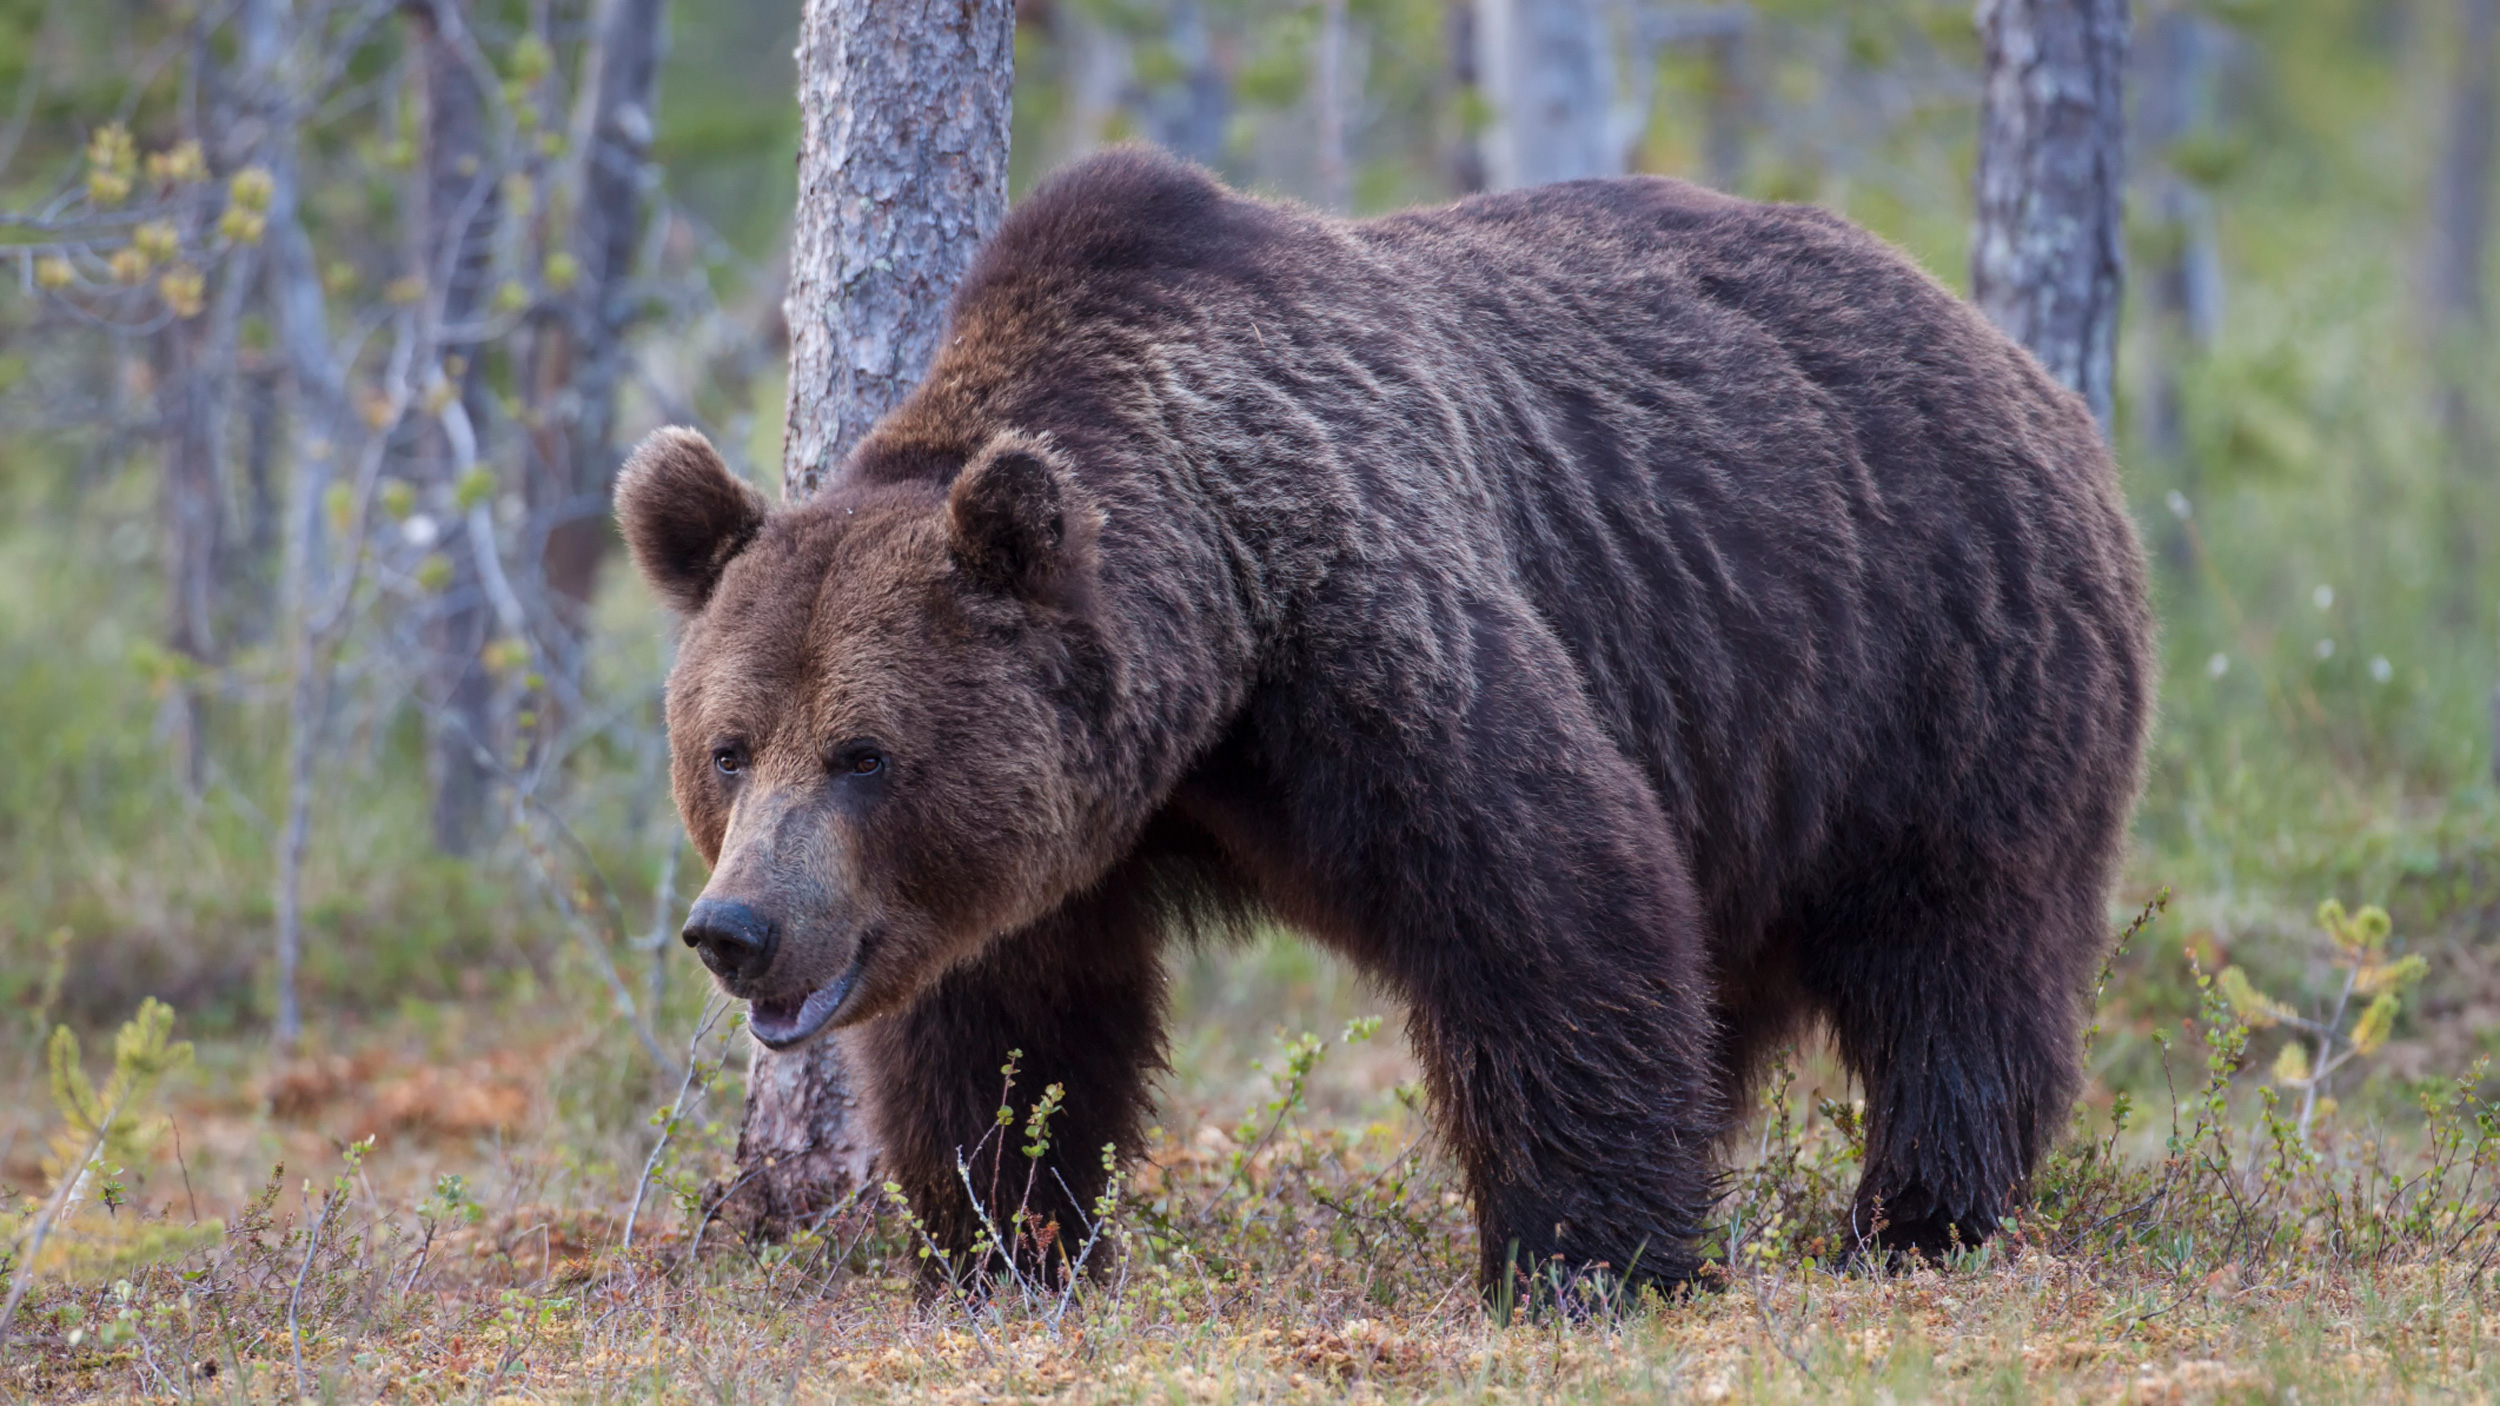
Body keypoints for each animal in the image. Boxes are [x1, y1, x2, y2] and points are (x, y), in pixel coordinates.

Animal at [615, 147, 2154, 1295]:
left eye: (864, 753)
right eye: (728, 747)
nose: (736, 926)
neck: (1207, 650)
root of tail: (2015, 359)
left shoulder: (1360, 635)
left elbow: (1547, 900)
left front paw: (1583, 1255)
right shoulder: (1056, 825)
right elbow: (1009, 1026)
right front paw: (1006, 1239)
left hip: (1939, 662)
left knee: (1958, 954)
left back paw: (1916, 1217)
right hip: (1762, 761)